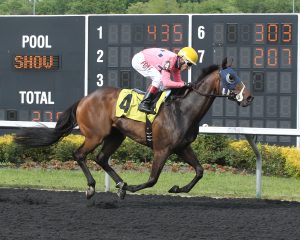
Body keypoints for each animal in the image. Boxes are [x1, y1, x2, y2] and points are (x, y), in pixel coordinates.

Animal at [14, 57, 253, 199]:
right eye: (231, 77)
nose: (249, 97)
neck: (183, 110)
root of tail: (84, 98)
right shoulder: (162, 149)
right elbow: (152, 179)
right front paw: (130, 188)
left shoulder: (182, 147)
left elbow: (200, 171)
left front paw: (178, 188)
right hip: (95, 135)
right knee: (80, 154)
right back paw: (93, 186)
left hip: (115, 136)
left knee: (101, 158)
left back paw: (119, 184)